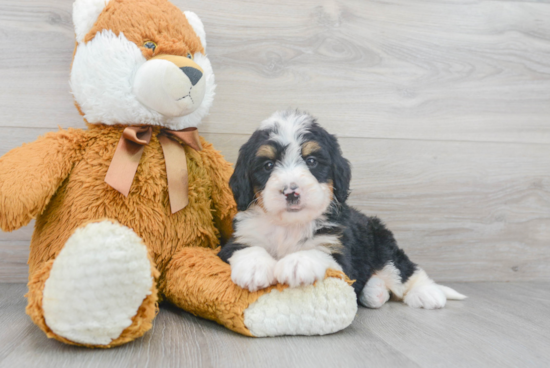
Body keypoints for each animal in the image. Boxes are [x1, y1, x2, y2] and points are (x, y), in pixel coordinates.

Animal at [220, 110, 466, 310]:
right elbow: (247, 248)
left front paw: (297, 263)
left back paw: (427, 293)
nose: (291, 192)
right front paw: (254, 267)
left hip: (382, 244)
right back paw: (375, 291)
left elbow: (318, 251)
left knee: (405, 270)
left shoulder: (340, 254)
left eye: (311, 161)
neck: (290, 226)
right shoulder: (234, 241)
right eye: (268, 165)